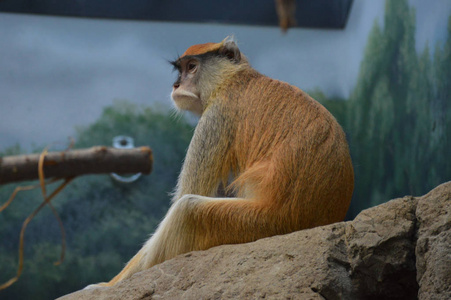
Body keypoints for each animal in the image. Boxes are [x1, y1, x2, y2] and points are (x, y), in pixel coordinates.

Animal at [91, 38, 354, 288]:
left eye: (192, 67)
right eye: (180, 69)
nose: (176, 85)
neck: (232, 79)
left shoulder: (217, 115)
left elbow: (186, 197)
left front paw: (105, 287)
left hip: (259, 224)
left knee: (189, 210)